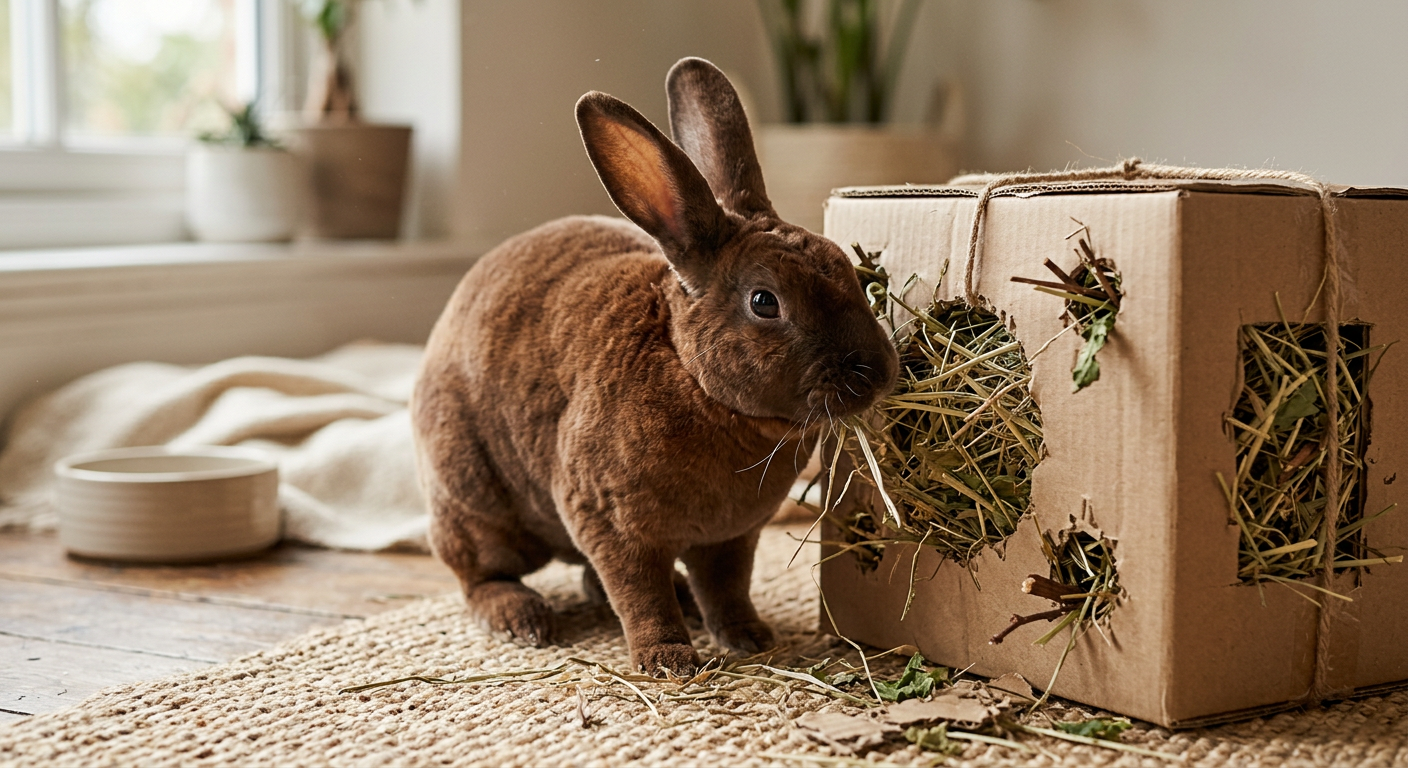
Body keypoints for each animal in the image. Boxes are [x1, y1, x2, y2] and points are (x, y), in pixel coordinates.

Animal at [411, 57, 899, 676]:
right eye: (765, 302)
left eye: (849, 270)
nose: (877, 373)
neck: (694, 379)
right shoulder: (612, 523)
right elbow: (639, 593)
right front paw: (668, 661)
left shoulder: (732, 539)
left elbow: (728, 587)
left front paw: (749, 637)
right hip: (474, 503)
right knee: (479, 574)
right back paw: (523, 619)